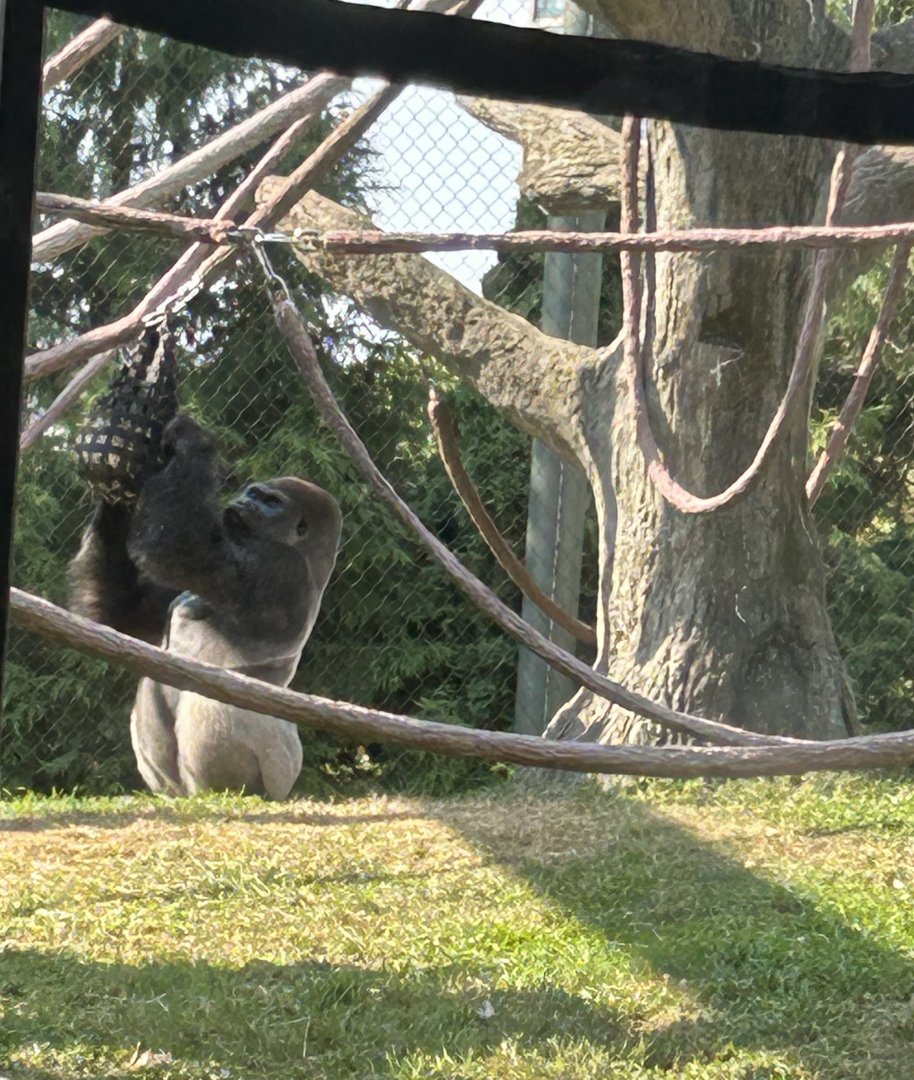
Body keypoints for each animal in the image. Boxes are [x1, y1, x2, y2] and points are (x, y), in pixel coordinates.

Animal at [68, 414, 342, 800]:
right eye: (253, 493)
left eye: (271, 501)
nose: (245, 500)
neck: (308, 556)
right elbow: (124, 611)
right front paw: (115, 494)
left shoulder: (279, 565)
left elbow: (175, 546)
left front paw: (191, 440)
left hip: (279, 774)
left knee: (214, 705)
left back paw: (233, 791)